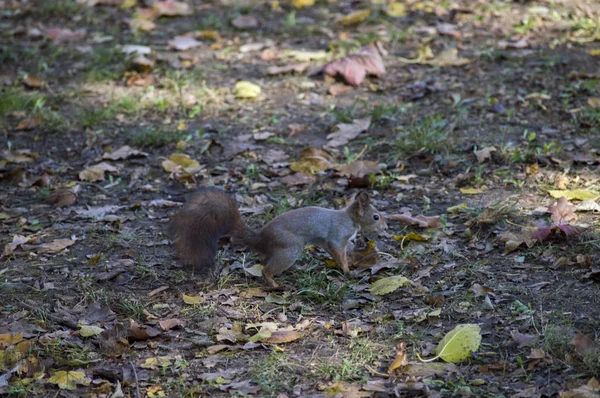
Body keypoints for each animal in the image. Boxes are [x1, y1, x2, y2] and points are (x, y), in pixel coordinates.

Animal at [166, 188, 386, 288]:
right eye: (376, 216)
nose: (385, 227)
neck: (350, 218)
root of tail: (260, 239)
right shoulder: (337, 236)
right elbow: (339, 254)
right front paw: (348, 271)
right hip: (290, 247)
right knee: (266, 269)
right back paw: (274, 284)